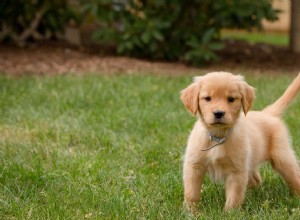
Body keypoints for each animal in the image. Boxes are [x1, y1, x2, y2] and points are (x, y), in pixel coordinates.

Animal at [180, 72, 300, 211]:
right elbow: (191, 193)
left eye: (231, 99)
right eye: (207, 98)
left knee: (294, 177)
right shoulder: (194, 166)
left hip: (282, 157)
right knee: (256, 179)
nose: (218, 113)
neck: (218, 137)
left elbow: (234, 196)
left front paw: (230, 213)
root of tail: (267, 113)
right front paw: (190, 211)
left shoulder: (237, 171)